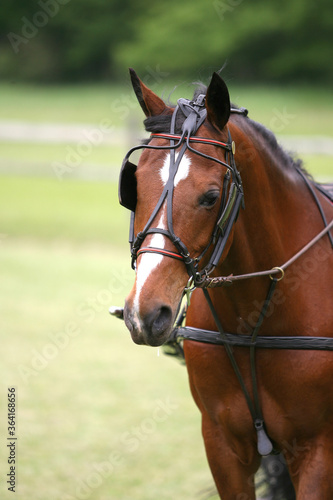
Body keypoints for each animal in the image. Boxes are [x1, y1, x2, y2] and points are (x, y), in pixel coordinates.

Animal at [115, 68, 332, 498]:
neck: (257, 325)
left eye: (211, 196)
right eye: (134, 189)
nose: (145, 314)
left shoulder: (319, 449)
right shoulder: (222, 444)